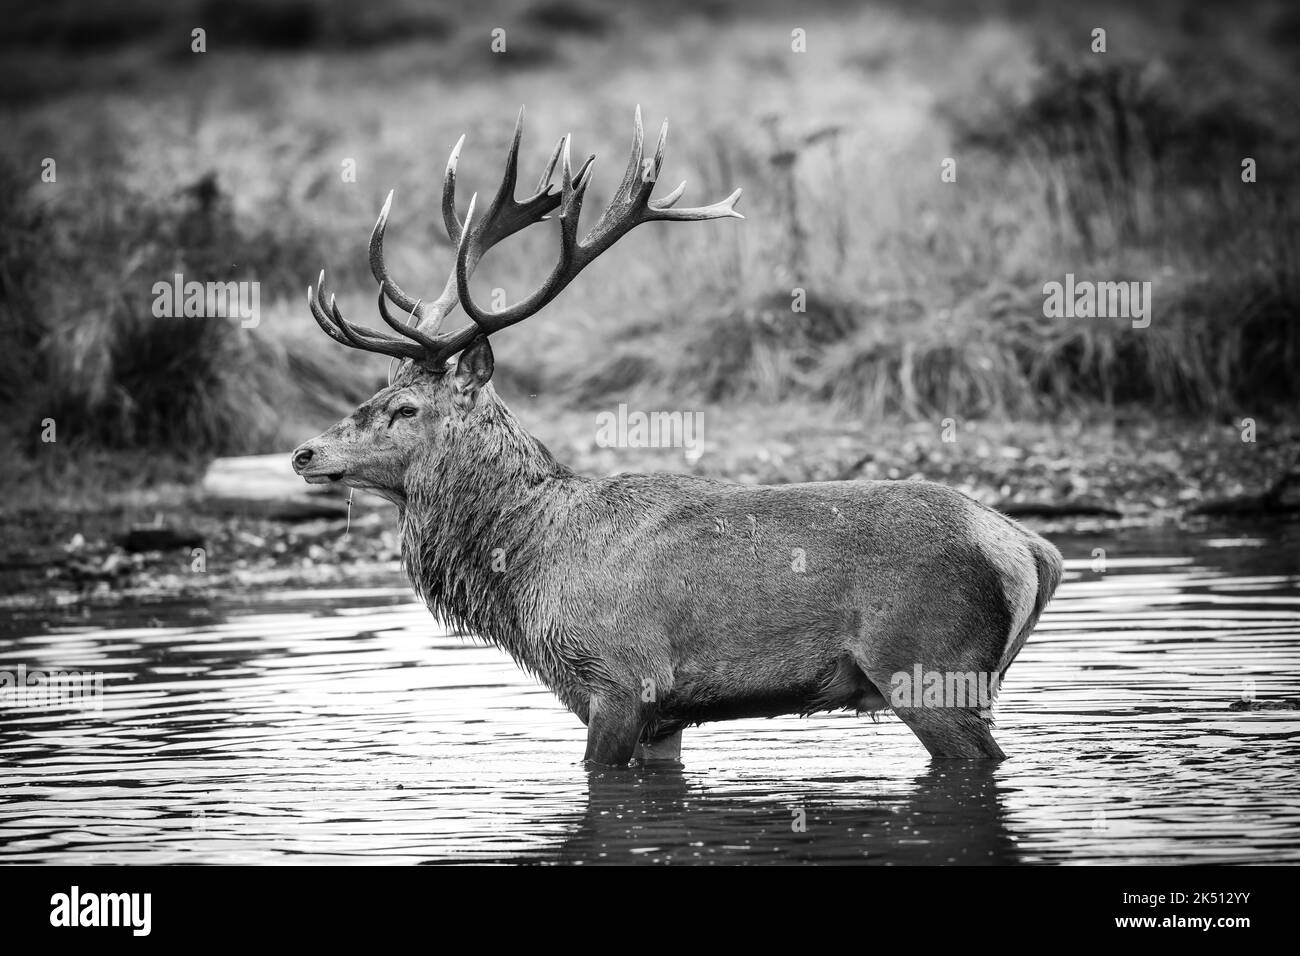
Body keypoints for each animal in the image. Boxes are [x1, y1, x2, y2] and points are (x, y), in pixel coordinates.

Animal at [292, 107, 1064, 767]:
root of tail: (1030, 548)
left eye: (405, 409)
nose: (304, 452)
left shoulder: (620, 678)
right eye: (374, 394)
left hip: (931, 668)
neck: (529, 569)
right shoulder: (664, 717)